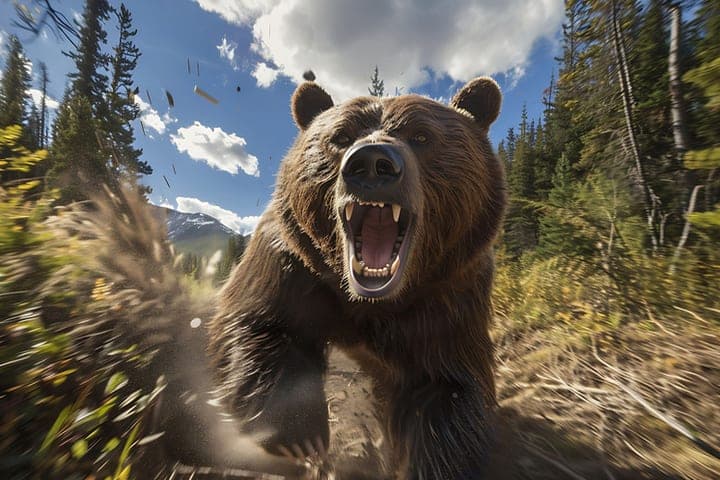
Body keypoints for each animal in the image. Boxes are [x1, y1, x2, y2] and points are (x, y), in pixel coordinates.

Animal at [208, 76, 506, 479]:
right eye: (341, 136)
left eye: (421, 135)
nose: (373, 163)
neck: (369, 301)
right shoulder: (291, 263)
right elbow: (254, 321)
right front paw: (302, 432)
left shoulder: (451, 292)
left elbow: (451, 387)